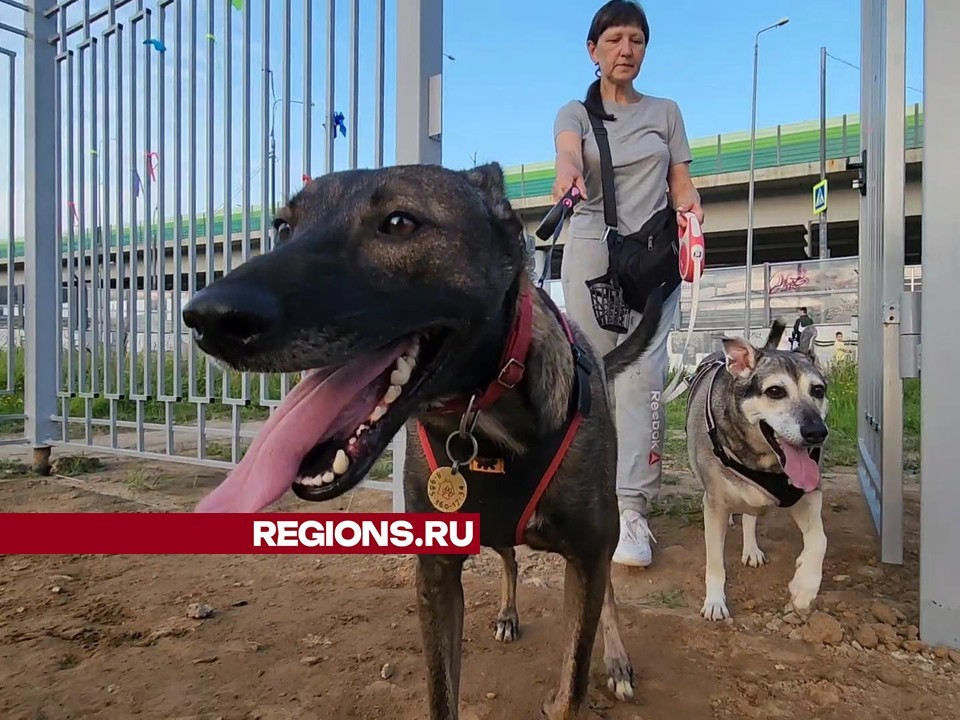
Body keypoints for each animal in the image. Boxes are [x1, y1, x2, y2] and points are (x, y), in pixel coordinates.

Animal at [184, 163, 672, 720]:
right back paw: (508, 612)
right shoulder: (436, 571)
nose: (209, 318)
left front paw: (595, 668)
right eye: (284, 228)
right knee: (508, 556)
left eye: (399, 223)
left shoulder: (589, 553)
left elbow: (572, 682)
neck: (482, 421)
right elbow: (442, 694)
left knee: (602, 591)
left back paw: (616, 659)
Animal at [684, 320, 832, 620]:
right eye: (775, 391)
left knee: (751, 517)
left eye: (818, 390)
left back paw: (751, 549)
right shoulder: (715, 505)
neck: (764, 461)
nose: (816, 433)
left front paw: (803, 587)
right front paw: (715, 601)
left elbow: (819, 540)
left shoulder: (807, 495)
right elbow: (714, 560)